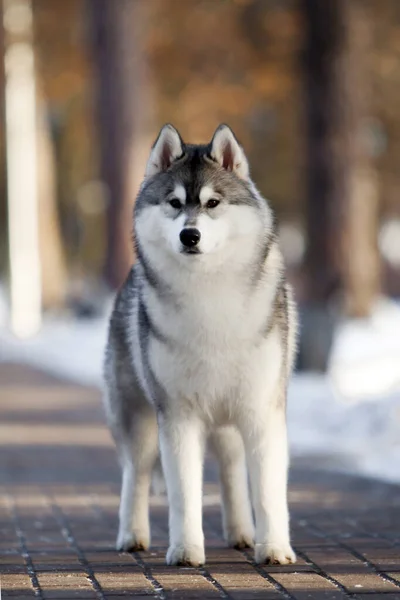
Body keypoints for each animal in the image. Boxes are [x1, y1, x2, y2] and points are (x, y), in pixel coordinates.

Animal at [103, 123, 296, 568]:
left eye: (212, 203)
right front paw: (186, 550)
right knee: (135, 473)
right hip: (138, 417)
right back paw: (131, 534)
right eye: (174, 203)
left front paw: (274, 548)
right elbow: (184, 492)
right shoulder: (177, 416)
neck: (209, 295)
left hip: (229, 419)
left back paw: (242, 533)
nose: (189, 235)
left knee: (230, 470)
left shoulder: (261, 410)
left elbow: (267, 490)